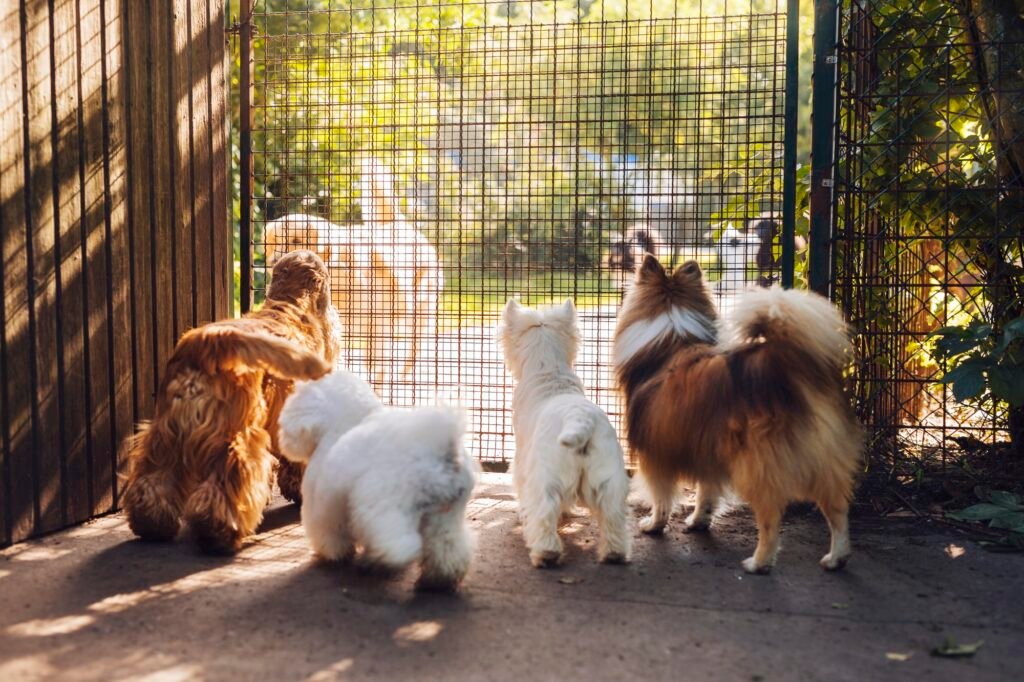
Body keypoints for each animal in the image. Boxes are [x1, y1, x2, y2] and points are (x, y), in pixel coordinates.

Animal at [122, 249, 339, 552]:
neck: (290, 303)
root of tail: (207, 340)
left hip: (165, 432)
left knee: (152, 479)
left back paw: (152, 524)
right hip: (236, 434)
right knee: (228, 481)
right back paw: (219, 531)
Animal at [276, 368, 475, 585]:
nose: (283, 438)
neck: (345, 421)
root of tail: (441, 452)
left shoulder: (321, 506)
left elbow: (329, 532)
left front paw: (333, 553)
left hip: (384, 505)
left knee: (399, 544)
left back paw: (381, 560)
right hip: (446, 515)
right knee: (448, 547)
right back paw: (440, 579)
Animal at [497, 301, 630, 565]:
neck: (549, 369)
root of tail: (580, 419)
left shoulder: (522, 459)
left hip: (546, 477)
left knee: (544, 512)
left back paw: (545, 553)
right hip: (609, 477)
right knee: (613, 516)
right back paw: (613, 553)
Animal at [610, 254, 860, 573]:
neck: (671, 338)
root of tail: (785, 363)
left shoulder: (655, 452)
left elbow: (661, 496)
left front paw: (654, 525)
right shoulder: (707, 448)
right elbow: (706, 492)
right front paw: (698, 521)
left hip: (757, 466)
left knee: (771, 520)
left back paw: (759, 562)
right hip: (822, 460)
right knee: (838, 510)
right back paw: (837, 557)